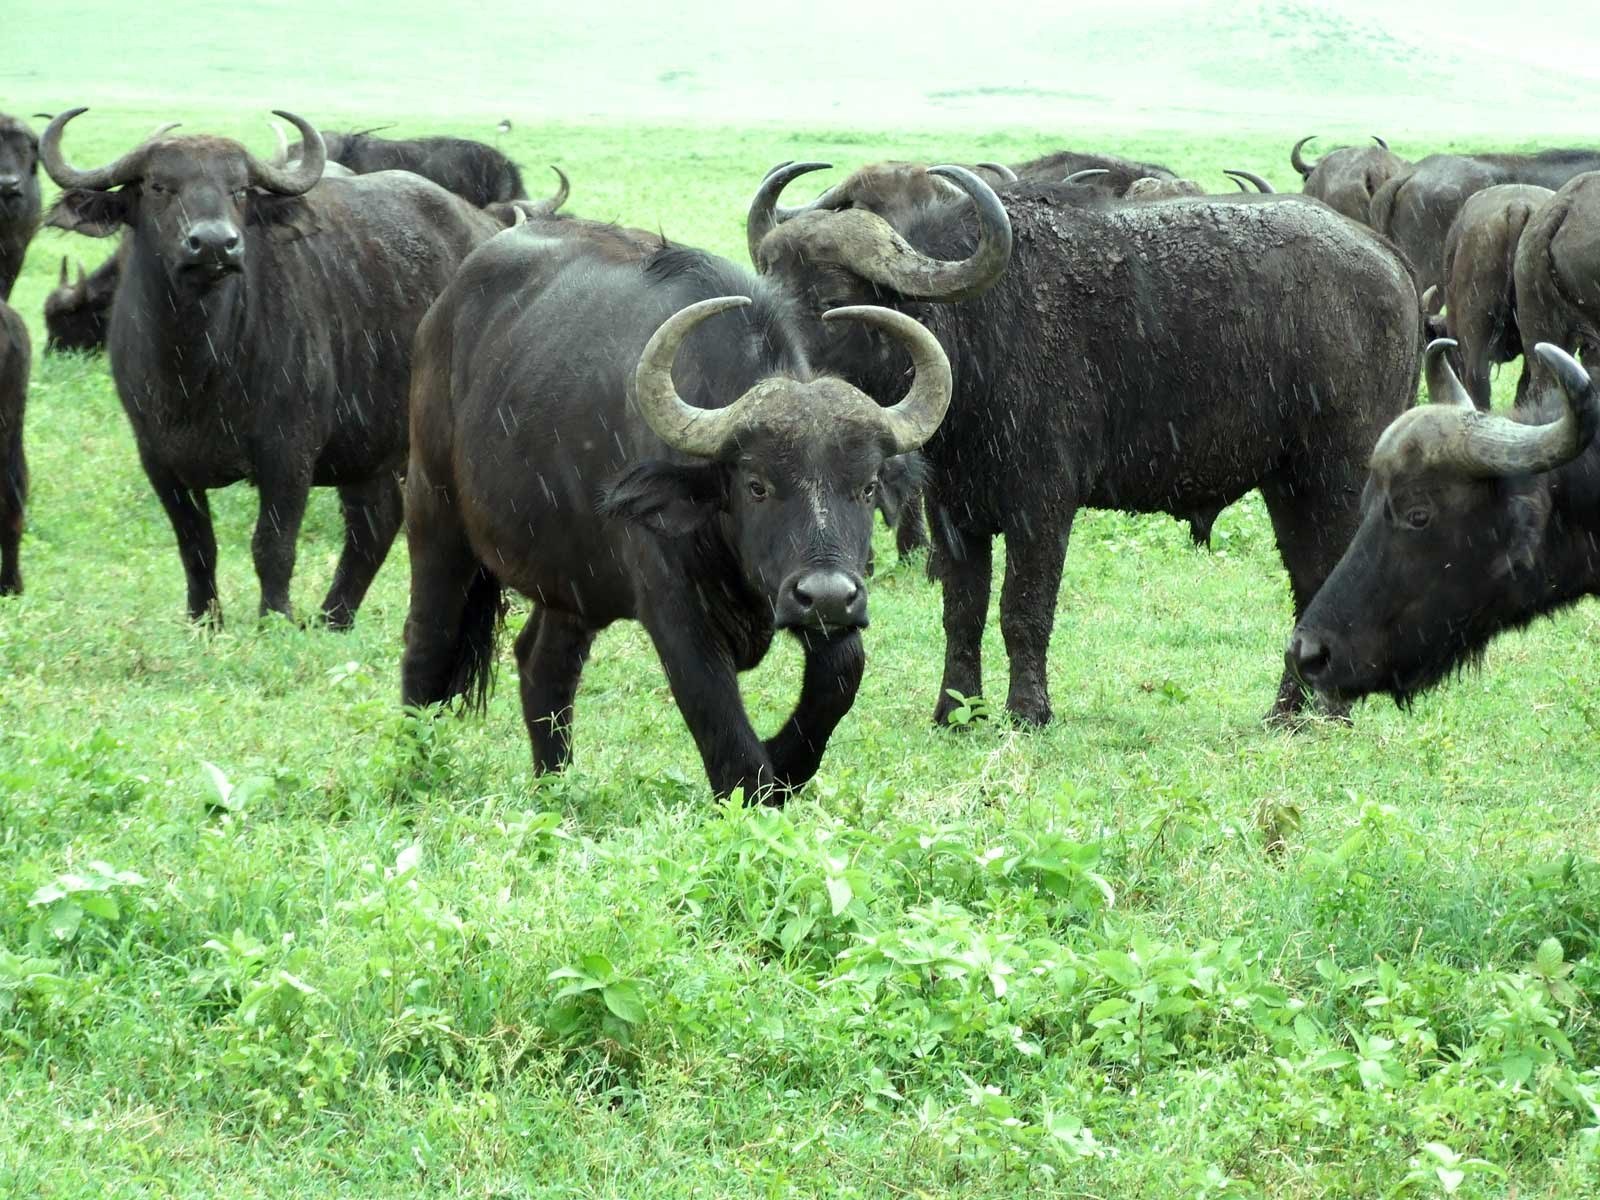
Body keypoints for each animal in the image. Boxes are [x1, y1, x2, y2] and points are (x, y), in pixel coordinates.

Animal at [41, 108, 513, 627]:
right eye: (158, 185)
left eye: (239, 189)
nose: (215, 244)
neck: (196, 366)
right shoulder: (158, 459)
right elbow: (196, 545)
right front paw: (204, 620)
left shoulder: (289, 452)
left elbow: (273, 544)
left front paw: (276, 618)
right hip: (368, 447)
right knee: (375, 521)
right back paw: (333, 618)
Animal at [401, 225, 953, 798]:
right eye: (756, 485)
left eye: (867, 487)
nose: (825, 596)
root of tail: (443, 311)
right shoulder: (678, 616)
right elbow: (729, 740)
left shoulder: (813, 600)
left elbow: (842, 672)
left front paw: (786, 760)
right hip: (433, 514)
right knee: (428, 643)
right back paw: (416, 769)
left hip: (573, 581)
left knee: (543, 663)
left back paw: (555, 783)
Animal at [751, 162, 1422, 726]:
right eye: (771, 290)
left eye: (833, 300)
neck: (979, 327)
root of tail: (1391, 262)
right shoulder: (953, 511)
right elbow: (962, 611)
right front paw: (956, 711)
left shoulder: (1043, 506)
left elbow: (1023, 608)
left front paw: (1028, 712)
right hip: (1288, 483)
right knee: (1309, 582)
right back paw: (1286, 715)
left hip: (1337, 478)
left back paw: (1328, 714)